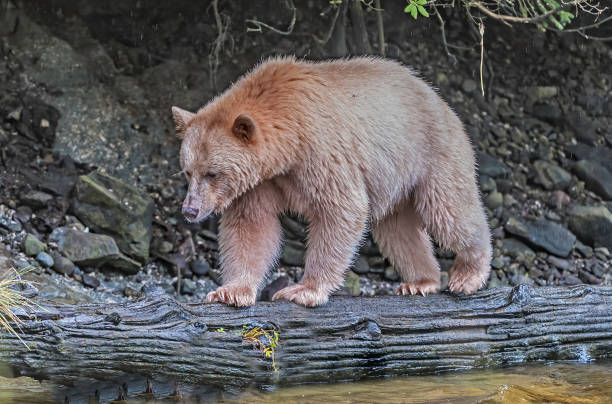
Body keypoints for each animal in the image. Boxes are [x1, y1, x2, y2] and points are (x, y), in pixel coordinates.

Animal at [173, 56, 492, 308]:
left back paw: (468, 273)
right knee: (398, 231)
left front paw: (303, 290)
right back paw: (421, 281)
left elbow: (340, 210)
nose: (190, 210)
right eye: (188, 171)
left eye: (213, 173)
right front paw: (231, 291)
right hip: (395, 183)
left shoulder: (322, 151)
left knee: (449, 213)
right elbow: (251, 227)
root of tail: (439, 99)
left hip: (431, 155)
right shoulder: (260, 183)